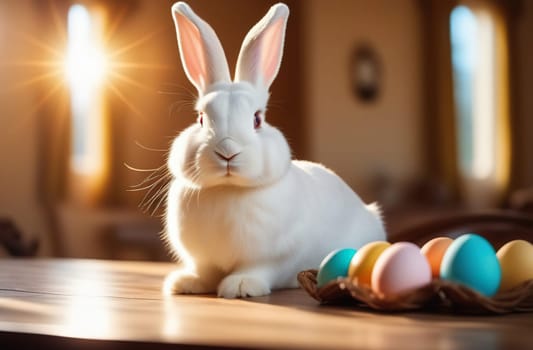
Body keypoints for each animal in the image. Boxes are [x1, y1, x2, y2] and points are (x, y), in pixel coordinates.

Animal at [164, 2, 384, 298]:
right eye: (201, 118)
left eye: (257, 119)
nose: (227, 151)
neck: (229, 190)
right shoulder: (203, 259)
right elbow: (204, 271)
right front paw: (186, 283)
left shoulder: (275, 257)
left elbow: (258, 269)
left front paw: (240, 286)